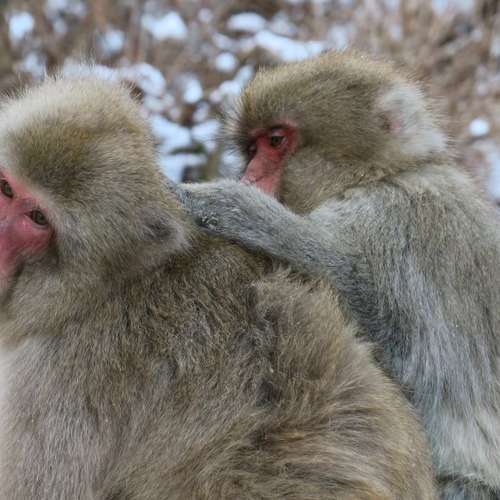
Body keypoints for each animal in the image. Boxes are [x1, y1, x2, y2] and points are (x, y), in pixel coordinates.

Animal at [178, 50, 500, 500]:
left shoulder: (393, 224)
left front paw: (236, 209)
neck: (384, 176)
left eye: (276, 141)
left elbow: (408, 361)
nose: (249, 177)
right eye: (252, 148)